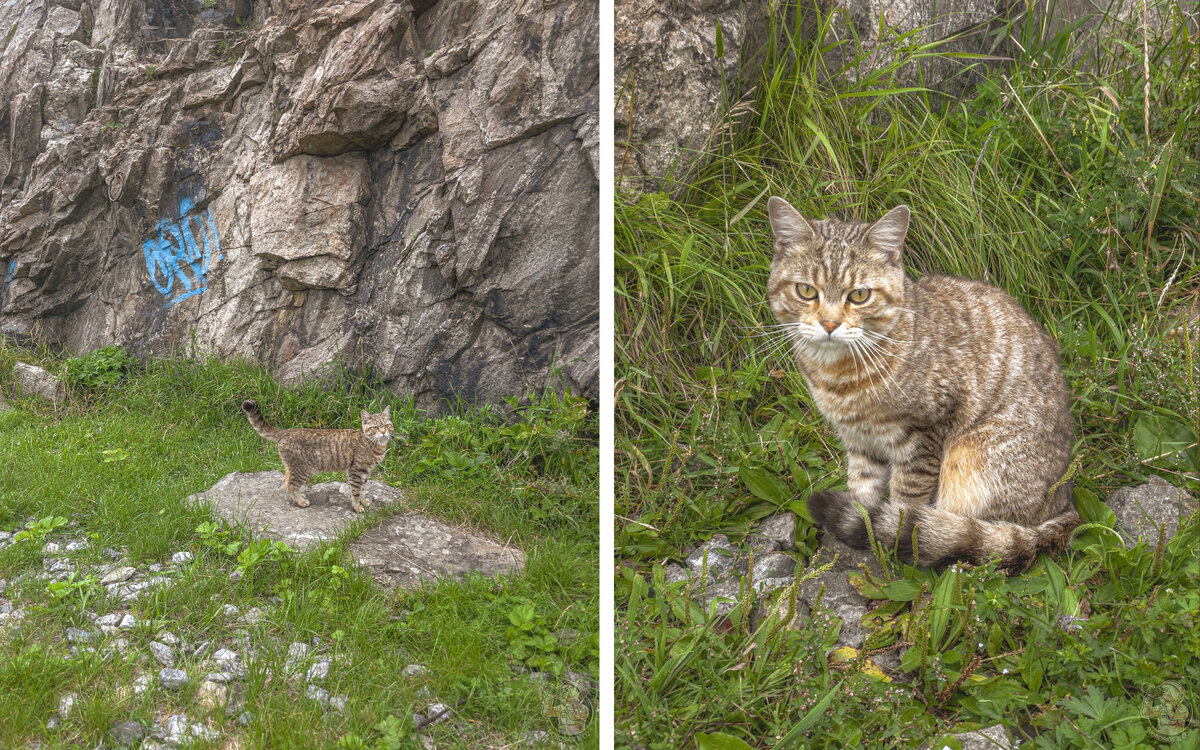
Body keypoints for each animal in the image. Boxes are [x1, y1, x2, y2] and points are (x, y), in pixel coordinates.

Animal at [242, 398, 393, 513]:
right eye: (375, 427)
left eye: (387, 425)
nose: (384, 432)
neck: (374, 445)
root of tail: (285, 432)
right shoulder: (357, 471)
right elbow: (356, 491)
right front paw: (357, 507)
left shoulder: (365, 473)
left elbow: (362, 489)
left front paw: (364, 501)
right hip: (303, 470)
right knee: (290, 485)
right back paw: (301, 501)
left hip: (293, 468)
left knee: (285, 480)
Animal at [763, 195, 1084, 571]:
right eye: (806, 291)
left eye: (859, 295)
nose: (829, 324)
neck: (839, 378)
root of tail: (1067, 503)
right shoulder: (858, 440)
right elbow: (862, 489)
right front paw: (858, 532)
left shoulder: (924, 435)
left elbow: (907, 503)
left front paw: (893, 543)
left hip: (971, 459)